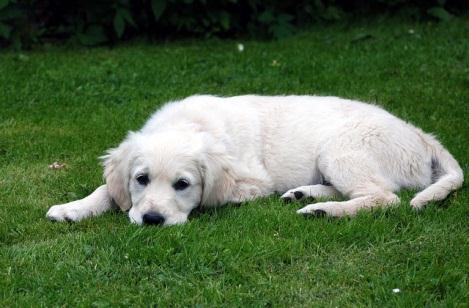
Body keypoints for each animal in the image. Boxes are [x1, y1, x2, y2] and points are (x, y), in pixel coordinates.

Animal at [45, 95, 462, 225]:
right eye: (141, 179)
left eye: (183, 185)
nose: (151, 220)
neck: (190, 124)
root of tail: (421, 135)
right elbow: (107, 189)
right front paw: (72, 208)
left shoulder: (253, 182)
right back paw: (306, 195)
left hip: (340, 149)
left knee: (383, 197)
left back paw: (324, 210)